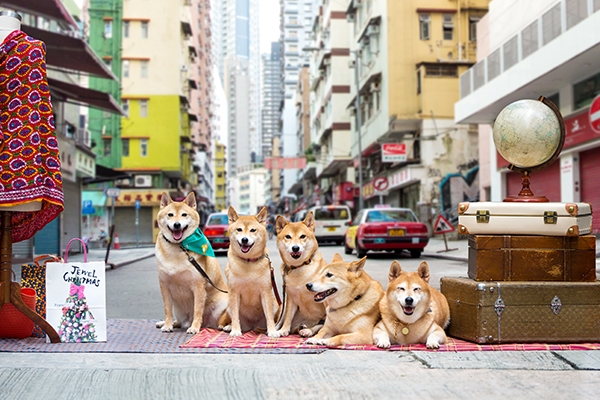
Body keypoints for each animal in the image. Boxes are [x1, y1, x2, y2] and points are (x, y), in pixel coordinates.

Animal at [155, 193, 230, 334]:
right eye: (170, 215)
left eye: (184, 215)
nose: (177, 225)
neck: (179, 246)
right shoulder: (164, 286)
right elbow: (167, 310)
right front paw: (167, 325)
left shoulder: (198, 286)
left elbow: (197, 310)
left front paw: (194, 328)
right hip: (178, 309)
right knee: (178, 321)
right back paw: (169, 323)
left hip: (222, 305)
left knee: (226, 318)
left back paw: (227, 326)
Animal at [223, 206, 282, 338]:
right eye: (239, 229)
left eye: (253, 230)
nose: (245, 239)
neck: (248, 261)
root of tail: (252, 327)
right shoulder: (234, 292)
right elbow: (235, 316)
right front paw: (235, 330)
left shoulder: (265, 292)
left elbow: (269, 316)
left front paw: (272, 331)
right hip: (229, 305)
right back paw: (229, 327)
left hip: (275, 305)